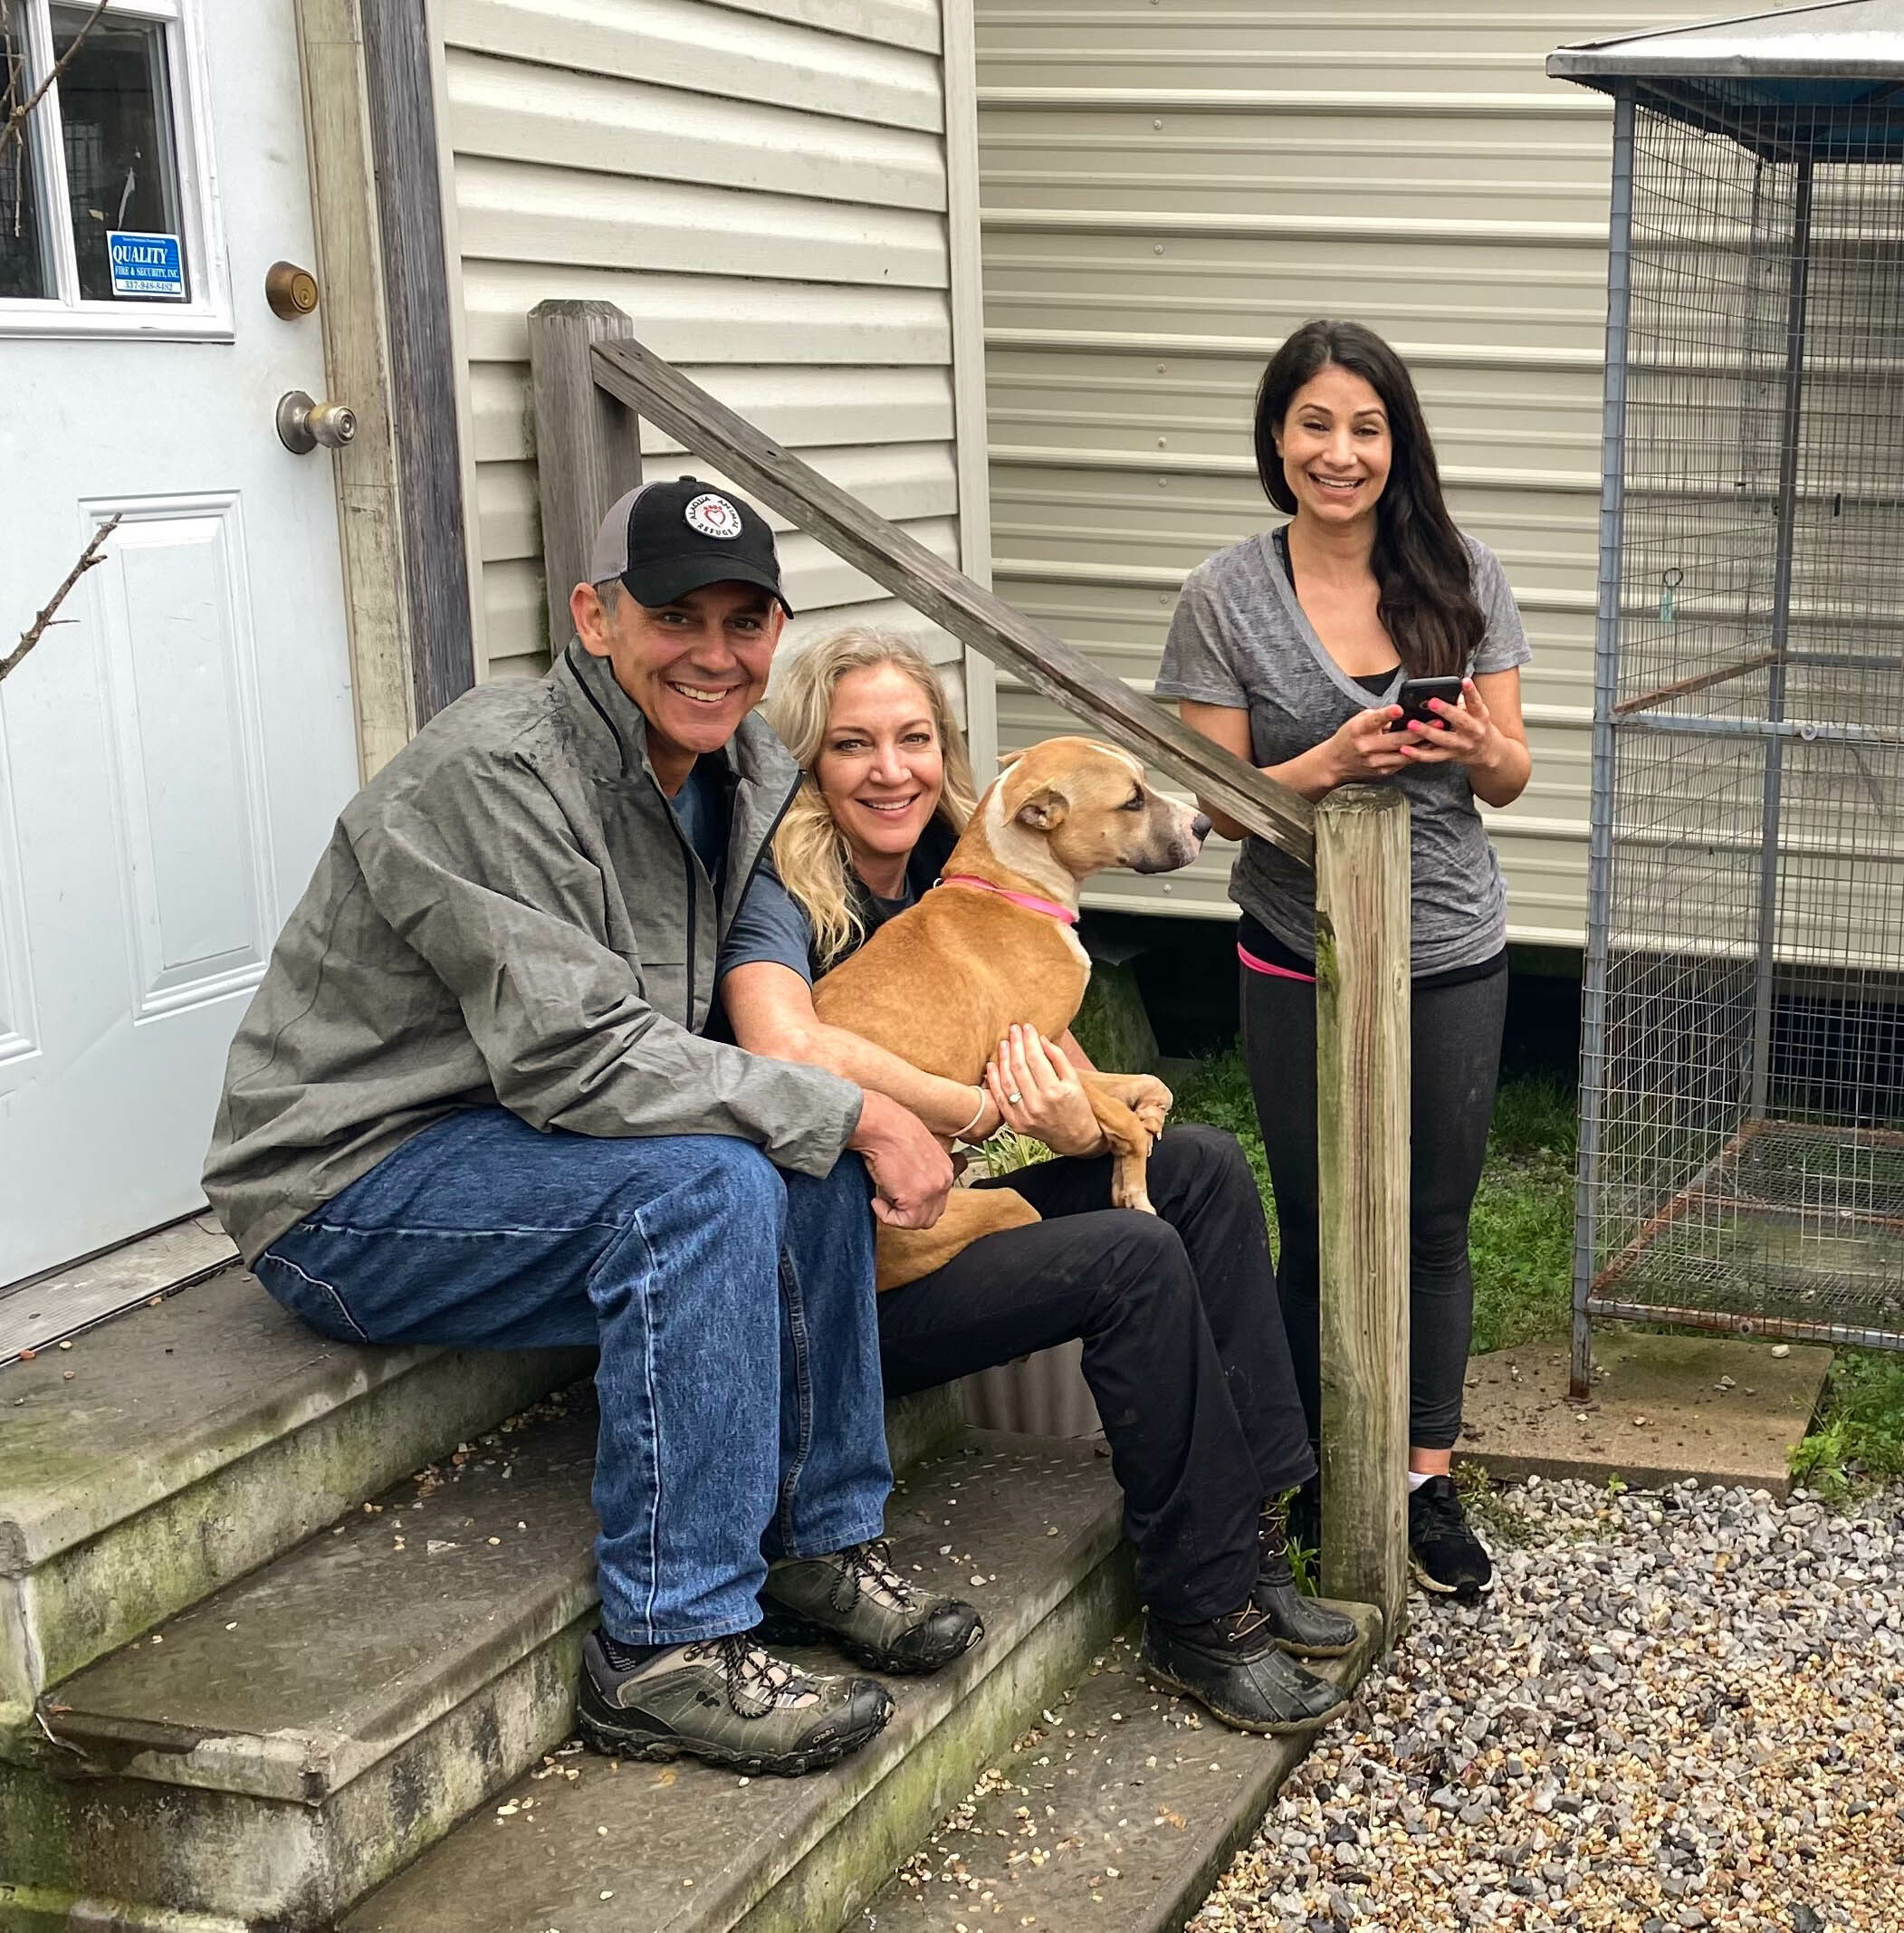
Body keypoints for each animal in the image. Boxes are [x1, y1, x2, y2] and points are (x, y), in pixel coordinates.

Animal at [811, 731, 1206, 1291]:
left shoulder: (1057, 1057)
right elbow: (1123, 1124)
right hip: (1001, 1207)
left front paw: (1148, 1118)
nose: (1204, 825)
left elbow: (1152, 1085)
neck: (1013, 887)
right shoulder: (1025, 1052)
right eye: (1132, 800)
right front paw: (1133, 1187)